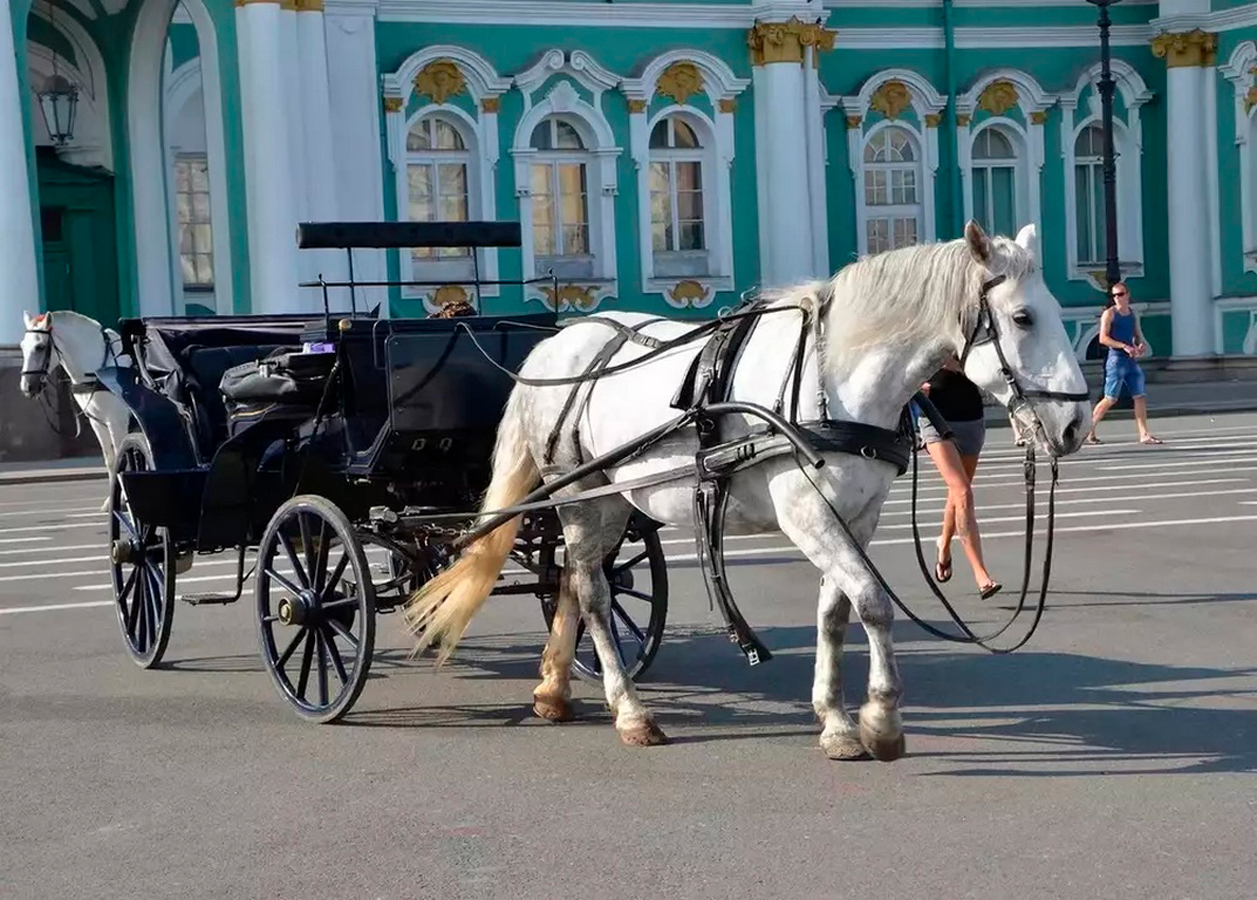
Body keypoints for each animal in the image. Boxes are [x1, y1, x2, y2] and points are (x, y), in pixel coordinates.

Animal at [18, 307, 132, 505]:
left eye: (40, 347)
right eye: (22, 346)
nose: (27, 386)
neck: (98, 370)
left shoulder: (117, 423)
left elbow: (121, 457)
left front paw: (124, 499)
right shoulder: (99, 423)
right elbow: (110, 460)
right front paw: (111, 501)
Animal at [402, 219, 1091, 759]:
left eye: (1057, 312)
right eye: (1023, 317)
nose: (1077, 424)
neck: (828, 381)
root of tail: (557, 342)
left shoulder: (855, 517)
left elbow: (835, 610)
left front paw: (836, 721)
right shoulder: (808, 516)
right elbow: (873, 603)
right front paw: (882, 721)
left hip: (604, 503)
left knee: (572, 580)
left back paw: (554, 690)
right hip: (582, 492)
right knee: (595, 593)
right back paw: (631, 712)